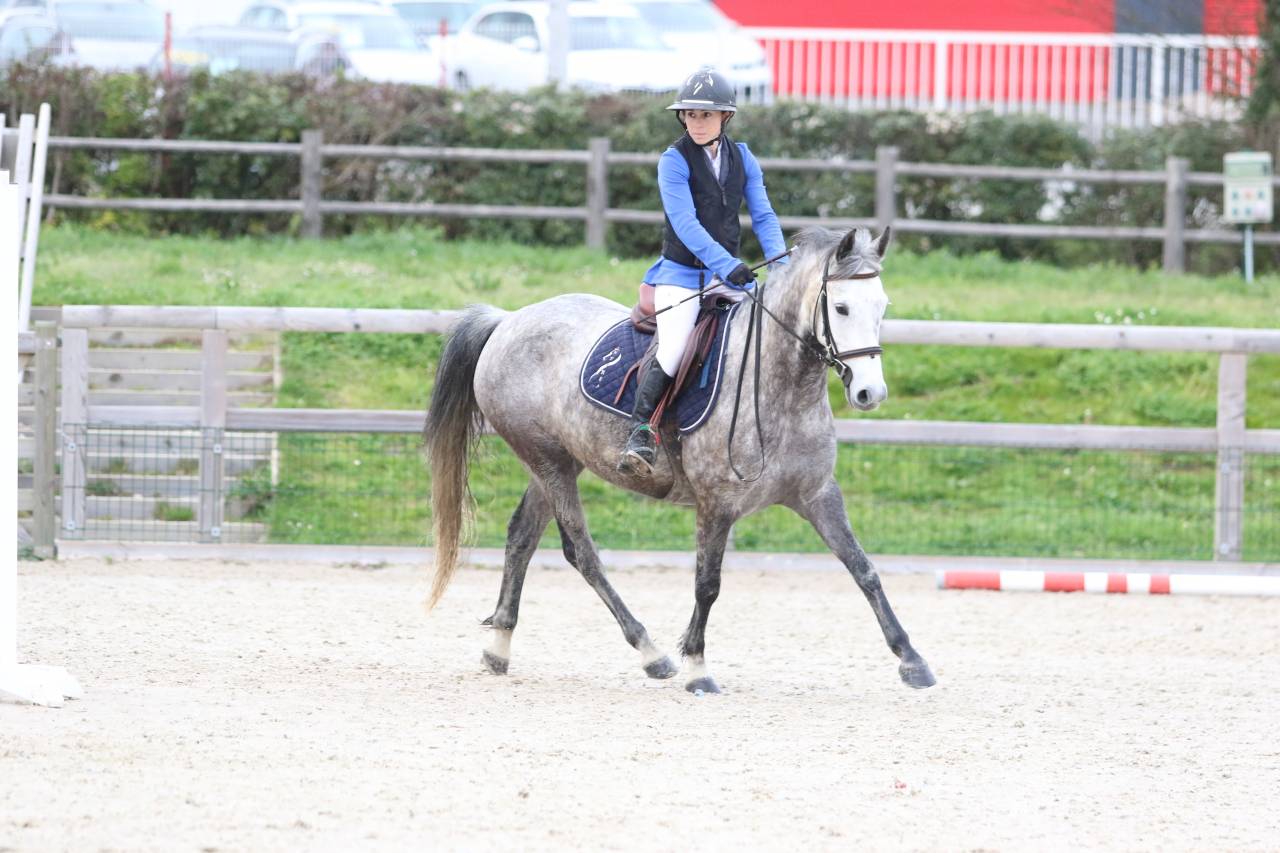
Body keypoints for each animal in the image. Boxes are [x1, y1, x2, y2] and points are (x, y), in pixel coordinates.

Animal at [423, 225, 936, 693]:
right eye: (841, 307)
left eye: (883, 307)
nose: (870, 393)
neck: (783, 386)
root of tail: (508, 320)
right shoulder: (717, 502)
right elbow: (707, 584)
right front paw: (697, 667)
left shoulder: (818, 495)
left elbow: (864, 568)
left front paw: (912, 660)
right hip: (548, 460)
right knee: (581, 552)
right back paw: (651, 653)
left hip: (556, 463)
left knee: (521, 539)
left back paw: (498, 648)